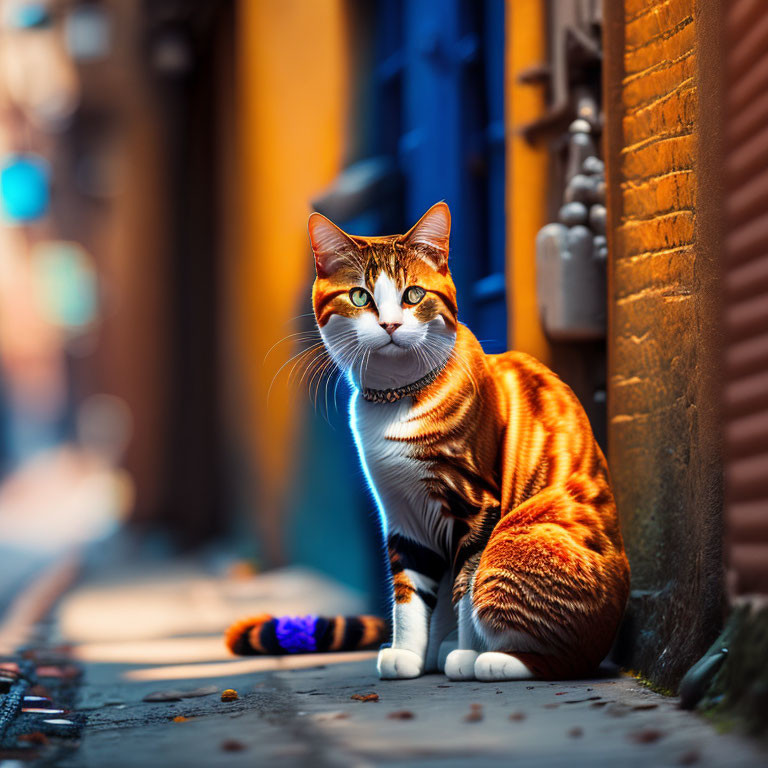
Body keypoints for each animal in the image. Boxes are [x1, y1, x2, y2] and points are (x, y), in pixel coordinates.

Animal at [226, 201, 632, 680]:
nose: (389, 324)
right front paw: (407, 653)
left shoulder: (477, 506)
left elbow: (464, 586)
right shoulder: (401, 517)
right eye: (360, 297)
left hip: (518, 539)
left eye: (414, 295)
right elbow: (408, 594)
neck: (397, 400)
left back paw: (494, 660)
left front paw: (465, 653)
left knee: (563, 657)